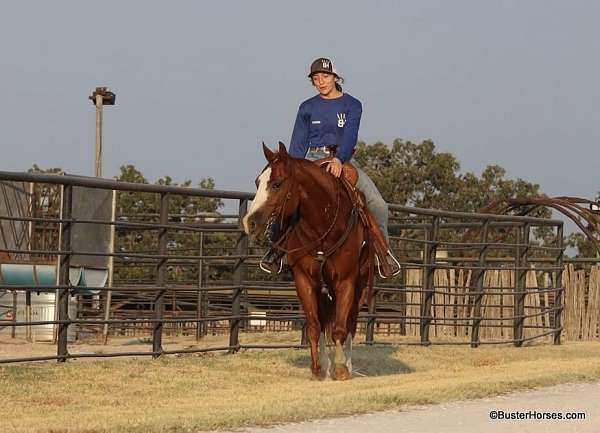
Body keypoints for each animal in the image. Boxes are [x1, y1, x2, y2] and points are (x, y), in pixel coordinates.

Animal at [241, 141, 372, 378]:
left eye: (277, 184)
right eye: (257, 182)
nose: (250, 222)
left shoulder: (346, 282)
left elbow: (340, 328)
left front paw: (341, 368)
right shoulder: (304, 280)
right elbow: (313, 326)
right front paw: (318, 369)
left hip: (361, 283)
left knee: (350, 322)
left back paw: (347, 363)